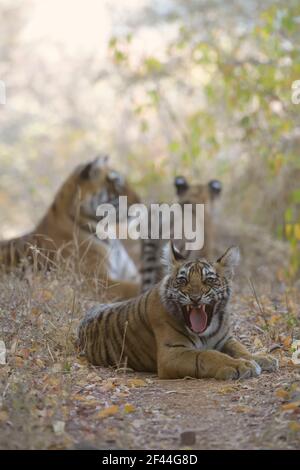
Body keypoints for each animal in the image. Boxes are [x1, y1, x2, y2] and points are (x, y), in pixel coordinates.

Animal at [78, 241, 278, 380]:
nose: (195, 298)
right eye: (183, 281)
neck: (208, 329)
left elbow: (241, 349)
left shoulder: (225, 339)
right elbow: (208, 355)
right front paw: (242, 366)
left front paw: (260, 359)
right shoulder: (172, 354)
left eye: (208, 280)